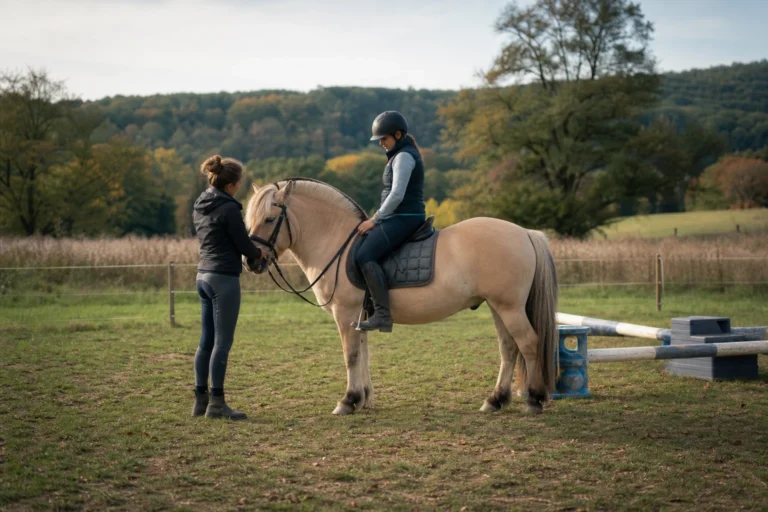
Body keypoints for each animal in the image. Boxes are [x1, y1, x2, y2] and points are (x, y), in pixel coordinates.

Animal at [244, 178, 559, 415]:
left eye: (270, 219)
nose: (252, 261)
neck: (337, 242)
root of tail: (525, 233)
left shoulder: (345, 314)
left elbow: (351, 355)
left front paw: (348, 401)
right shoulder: (360, 317)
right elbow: (364, 354)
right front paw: (363, 398)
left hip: (510, 307)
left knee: (528, 343)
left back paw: (533, 398)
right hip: (498, 306)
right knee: (509, 348)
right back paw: (496, 400)